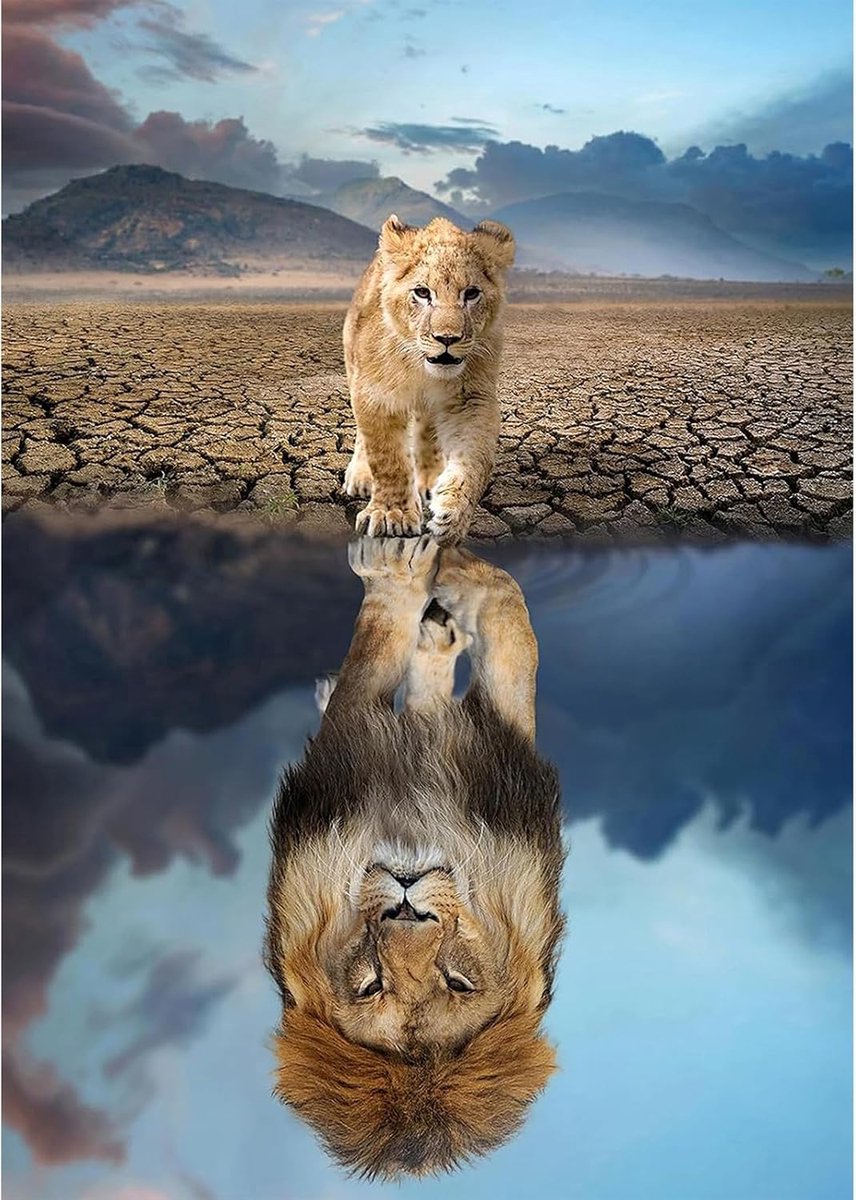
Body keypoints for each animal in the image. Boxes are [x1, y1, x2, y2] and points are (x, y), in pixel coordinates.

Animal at [265, 536, 565, 1179]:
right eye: (371, 986)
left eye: (457, 982)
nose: (407, 906)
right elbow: (505, 625)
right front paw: (423, 573)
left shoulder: (498, 760)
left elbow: (508, 631)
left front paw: (424, 574)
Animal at [342, 214, 516, 545]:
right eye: (422, 293)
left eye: (471, 293)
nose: (447, 339)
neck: (421, 368)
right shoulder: (375, 394)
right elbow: (387, 458)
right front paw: (392, 515)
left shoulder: (470, 399)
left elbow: (475, 460)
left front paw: (452, 515)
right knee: (363, 436)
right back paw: (360, 477)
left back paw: (430, 480)